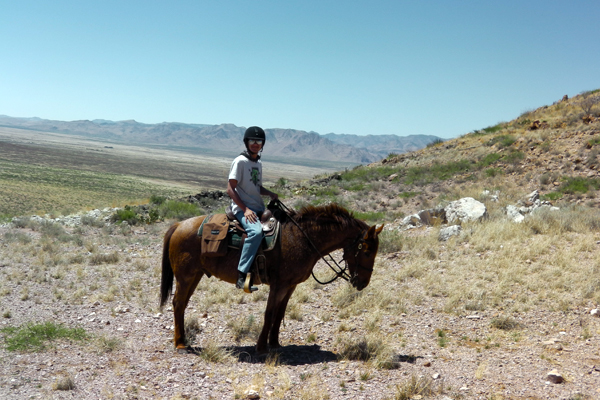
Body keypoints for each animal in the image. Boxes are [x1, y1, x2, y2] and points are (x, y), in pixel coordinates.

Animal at [159, 203, 384, 354]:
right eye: (366, 251)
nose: (362, 283)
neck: (302, 238)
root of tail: (178, 225)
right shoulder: (278, 284)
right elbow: (269, 313)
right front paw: (261, 346)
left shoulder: (290, 285)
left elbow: (279, 312)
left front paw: (275, 343)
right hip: (186, 276)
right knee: (178, 303)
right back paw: (180, 344)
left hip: (194, 276)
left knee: (182, 304)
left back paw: (183, 340)